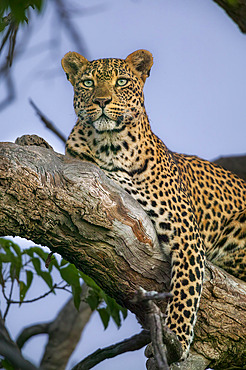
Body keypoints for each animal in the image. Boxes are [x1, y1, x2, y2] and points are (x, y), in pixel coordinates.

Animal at [60, 49, 245, 358]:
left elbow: (185, 289)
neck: (111, 145)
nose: (101, 101)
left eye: (122, 81)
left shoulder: (187, 234)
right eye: (87, 83)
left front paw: (176, 341)